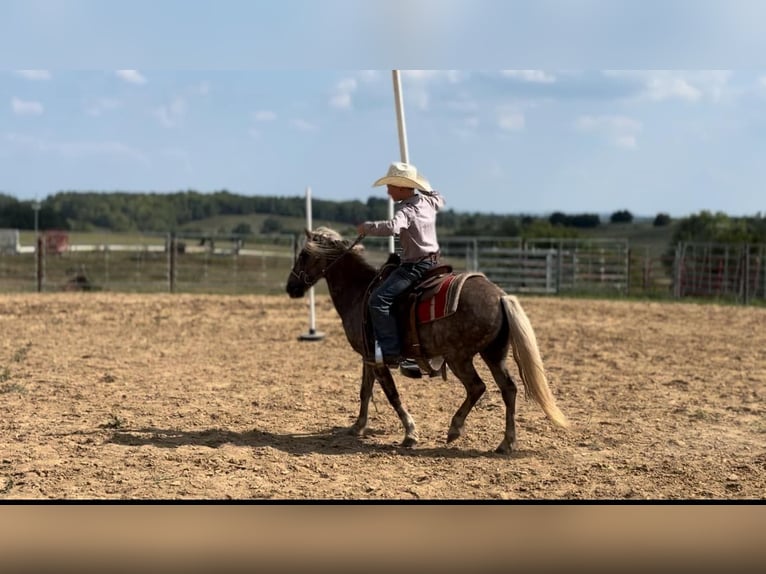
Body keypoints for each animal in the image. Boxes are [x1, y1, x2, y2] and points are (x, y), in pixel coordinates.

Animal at [285, 227, 569, 454]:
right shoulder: (368, 357)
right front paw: (358, 426)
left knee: (477, 387)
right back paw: (506, 443)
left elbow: (392, 395)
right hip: (493, 354)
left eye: (303, 255)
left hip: (459, 357)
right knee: (508, 389)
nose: (291, 288)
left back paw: (455, 429)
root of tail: (500, 296)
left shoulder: (378, 360)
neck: (360, 291)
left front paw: (410, 433)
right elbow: (365, 391)